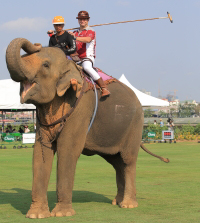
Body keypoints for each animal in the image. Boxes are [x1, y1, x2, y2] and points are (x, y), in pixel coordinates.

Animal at [5, 38, 169, 218]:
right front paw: (36, 215)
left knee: (128, 161)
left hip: (135, 125)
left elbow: (67, 150)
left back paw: (128, 205)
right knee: (117, 162)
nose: (37, 44)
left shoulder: (81, 107)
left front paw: (62, 214)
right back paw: (117, 202)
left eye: (46, 65)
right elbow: (40, 151)